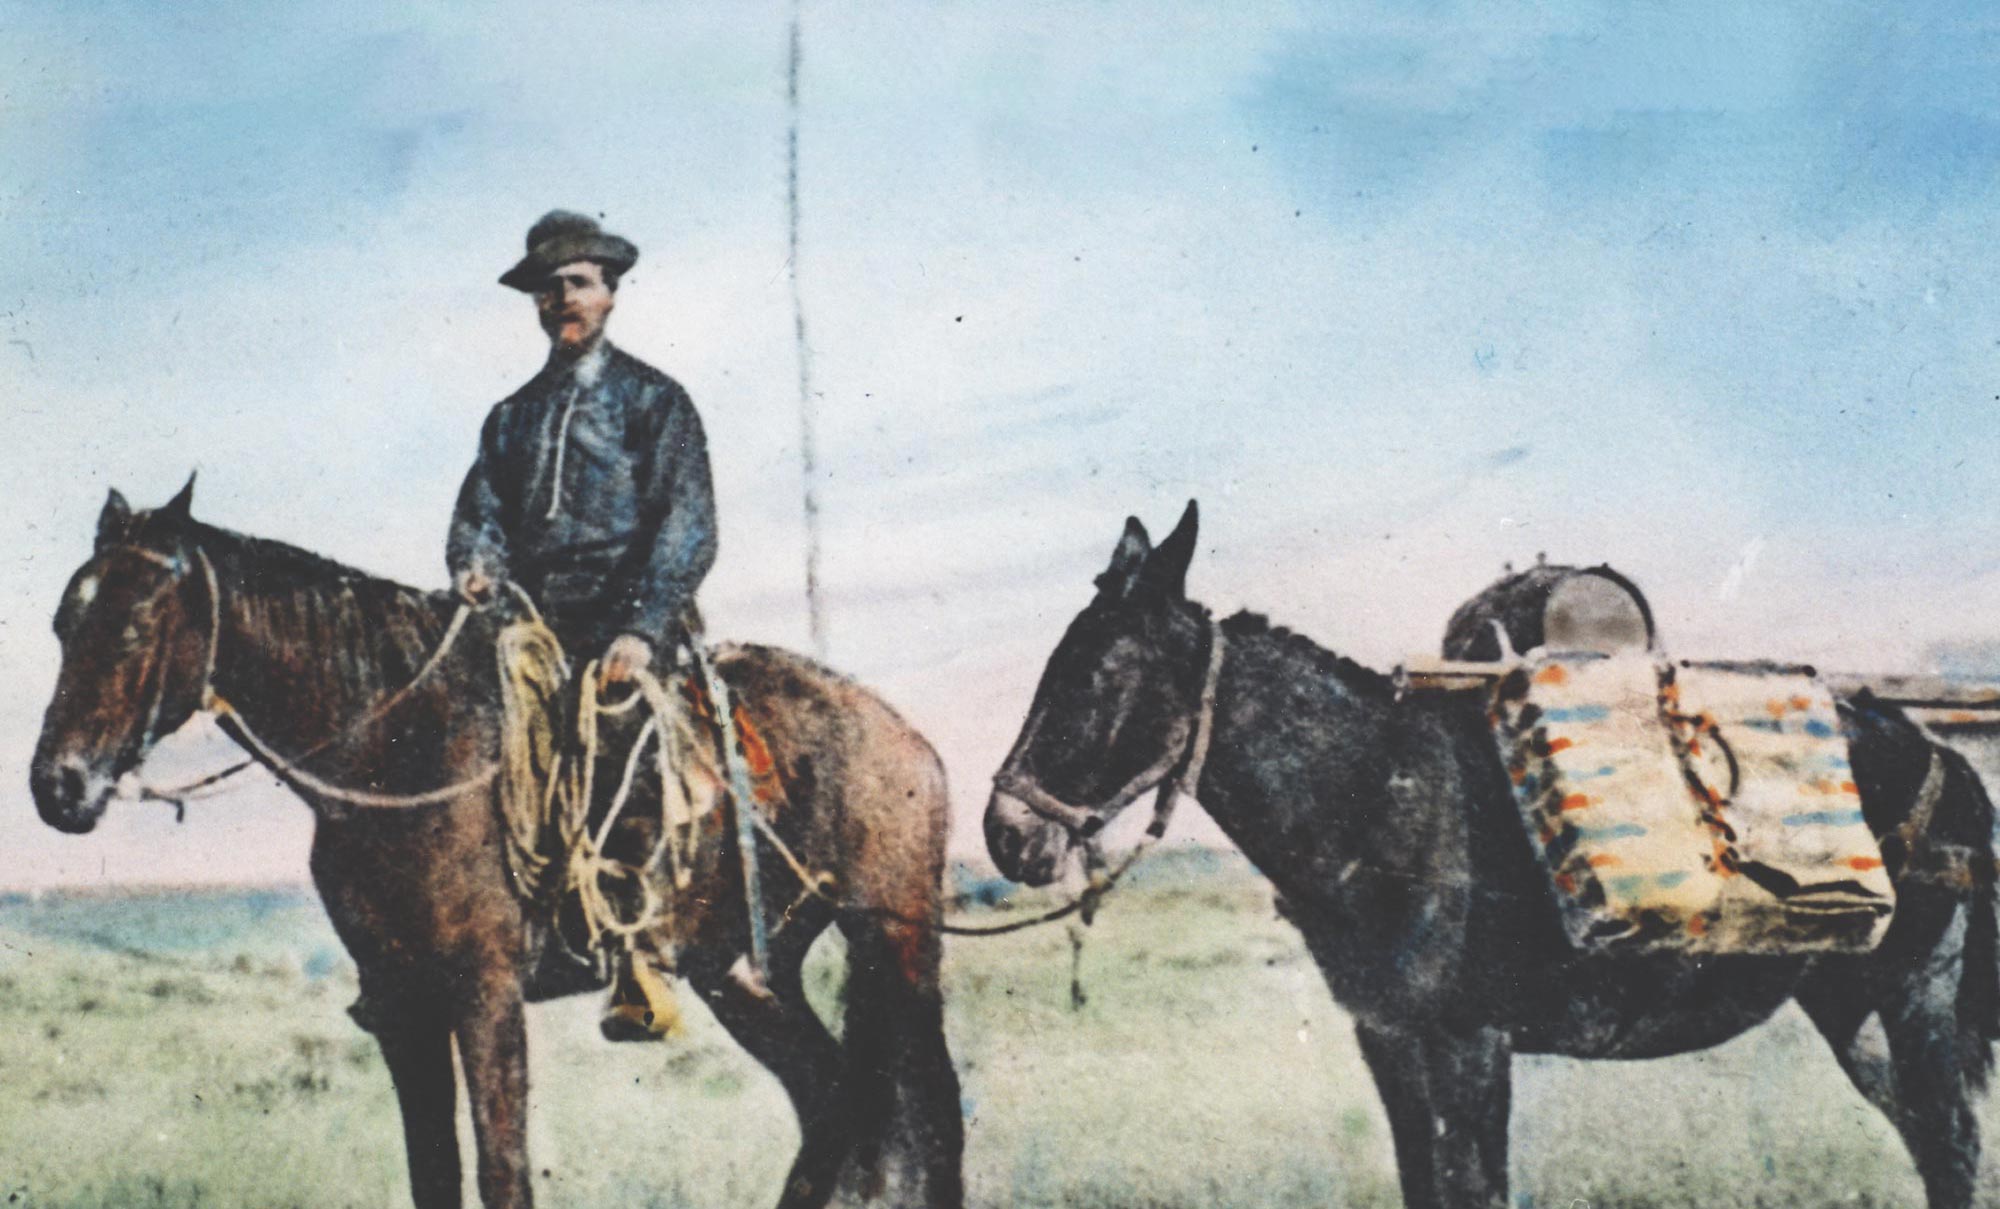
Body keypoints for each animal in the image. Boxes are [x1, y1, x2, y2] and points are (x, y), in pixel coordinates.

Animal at [27, 478, 964, 1209]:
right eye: (63, 624)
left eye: (137, 623)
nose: (56, 785)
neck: (397, 746)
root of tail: (907, 736)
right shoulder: (402, 1007)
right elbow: (434, 1175)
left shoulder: (485, 994)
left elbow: (502, 1169)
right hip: (738, 969)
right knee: (833, 1097)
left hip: (893, 939)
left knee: (933, 1107)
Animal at [984, 502, 2000, 1209]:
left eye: (1101, 675)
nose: (1004, 833)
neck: (1384, 802)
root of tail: (1933, 746)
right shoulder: (1390, 1043)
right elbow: (1424, 1183)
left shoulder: (1469, 1045)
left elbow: (1477, 1186)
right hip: (1850, 1007)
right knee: (1929, 1137)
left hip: (1910, 996)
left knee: (1949, 1144)